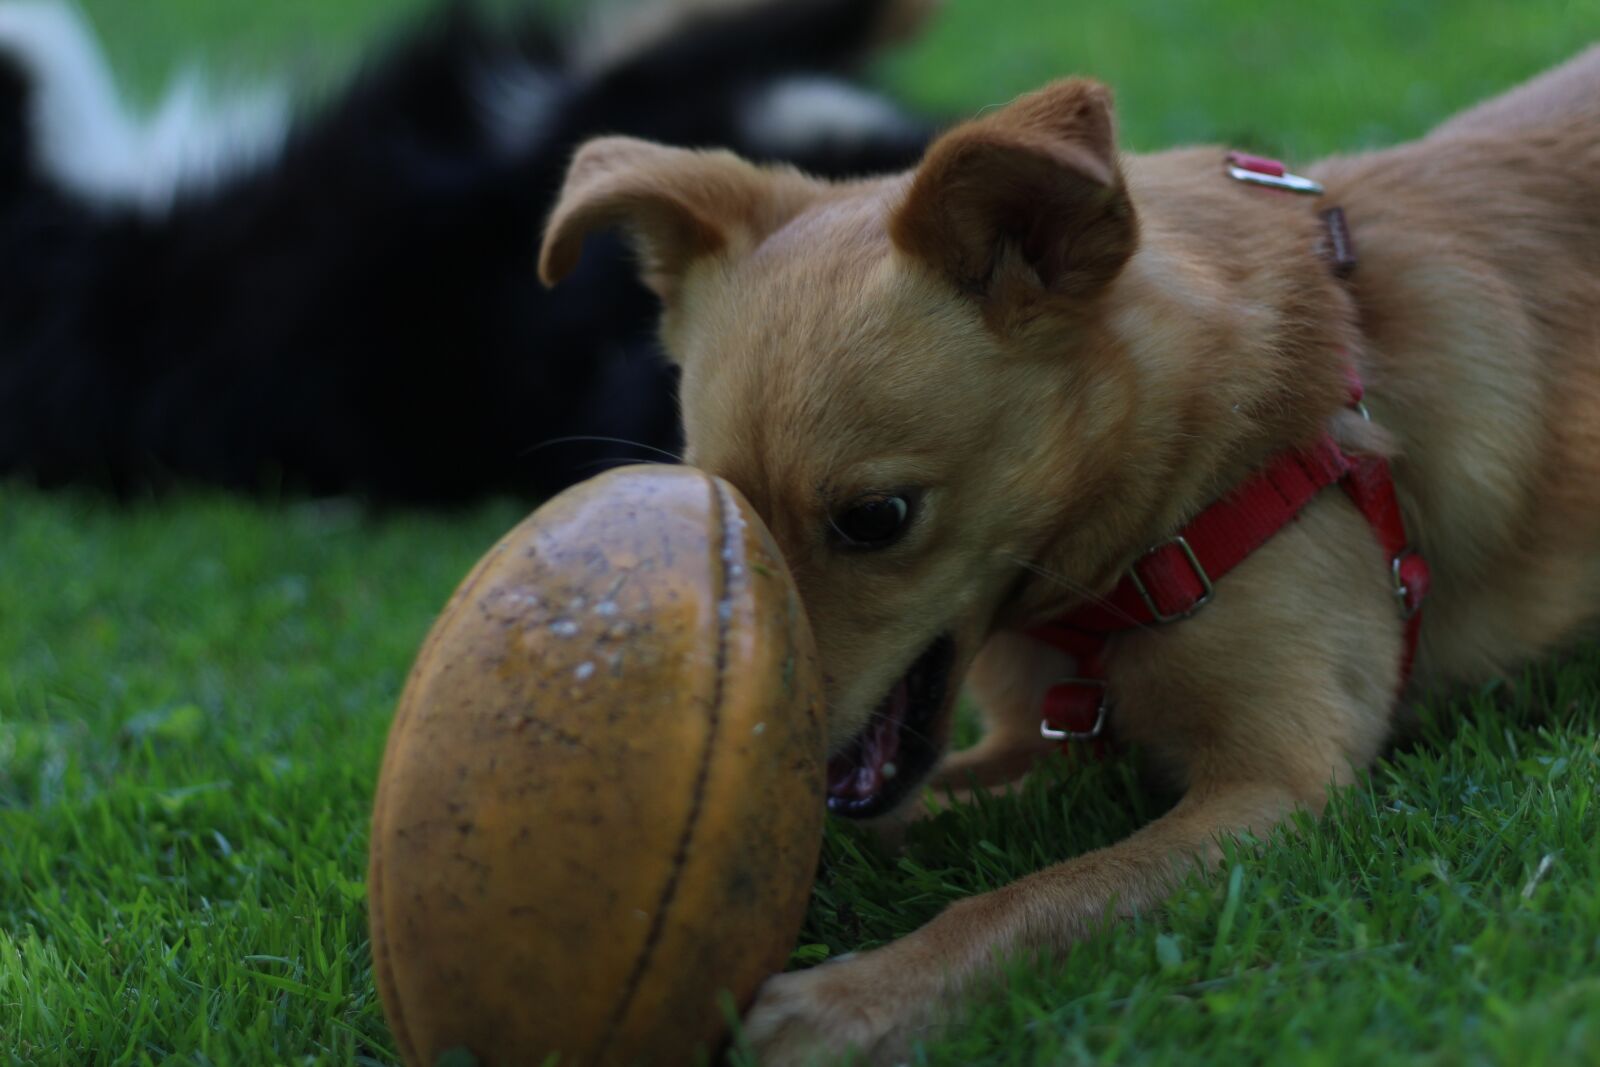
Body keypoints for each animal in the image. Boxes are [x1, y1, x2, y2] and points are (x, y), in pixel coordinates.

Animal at [537, 45, 1600, 1062]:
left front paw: (855, 998)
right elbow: (909, 822)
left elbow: (1032, 900)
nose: (770, 759)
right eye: (726, 511)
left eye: (876, 517)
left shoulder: (1279, 787)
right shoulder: (1038, 746)